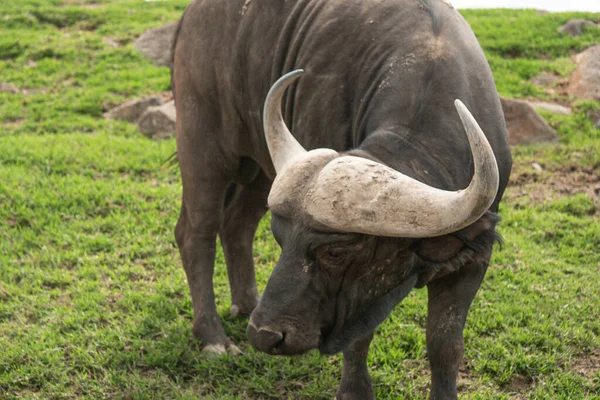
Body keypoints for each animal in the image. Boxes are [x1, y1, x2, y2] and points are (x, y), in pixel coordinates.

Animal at [170, 1, 510, 398]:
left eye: (335, 252)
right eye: (281, 240)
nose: (264, 335)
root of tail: (190, 16)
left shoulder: (472, 260)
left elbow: (445, 344)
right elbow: (359, 339)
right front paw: (355, 390)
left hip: (260, 164)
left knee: (236, 223)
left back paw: (247, 304)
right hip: (203, 143)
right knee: (196, 233)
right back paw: (213, 338)